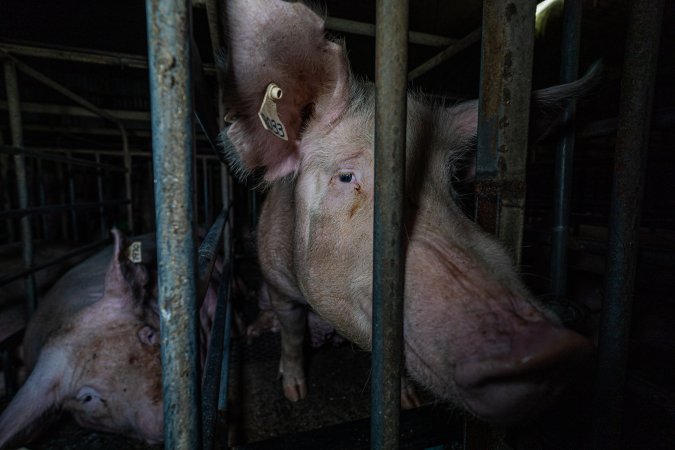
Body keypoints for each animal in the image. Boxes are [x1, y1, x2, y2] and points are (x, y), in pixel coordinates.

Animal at [219, 0, 596, 426]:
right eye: (346, 177)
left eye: (453, 182)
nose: (550, 349)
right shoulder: (278, 279)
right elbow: (293, 333)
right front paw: (295, 393)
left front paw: (409, 402)